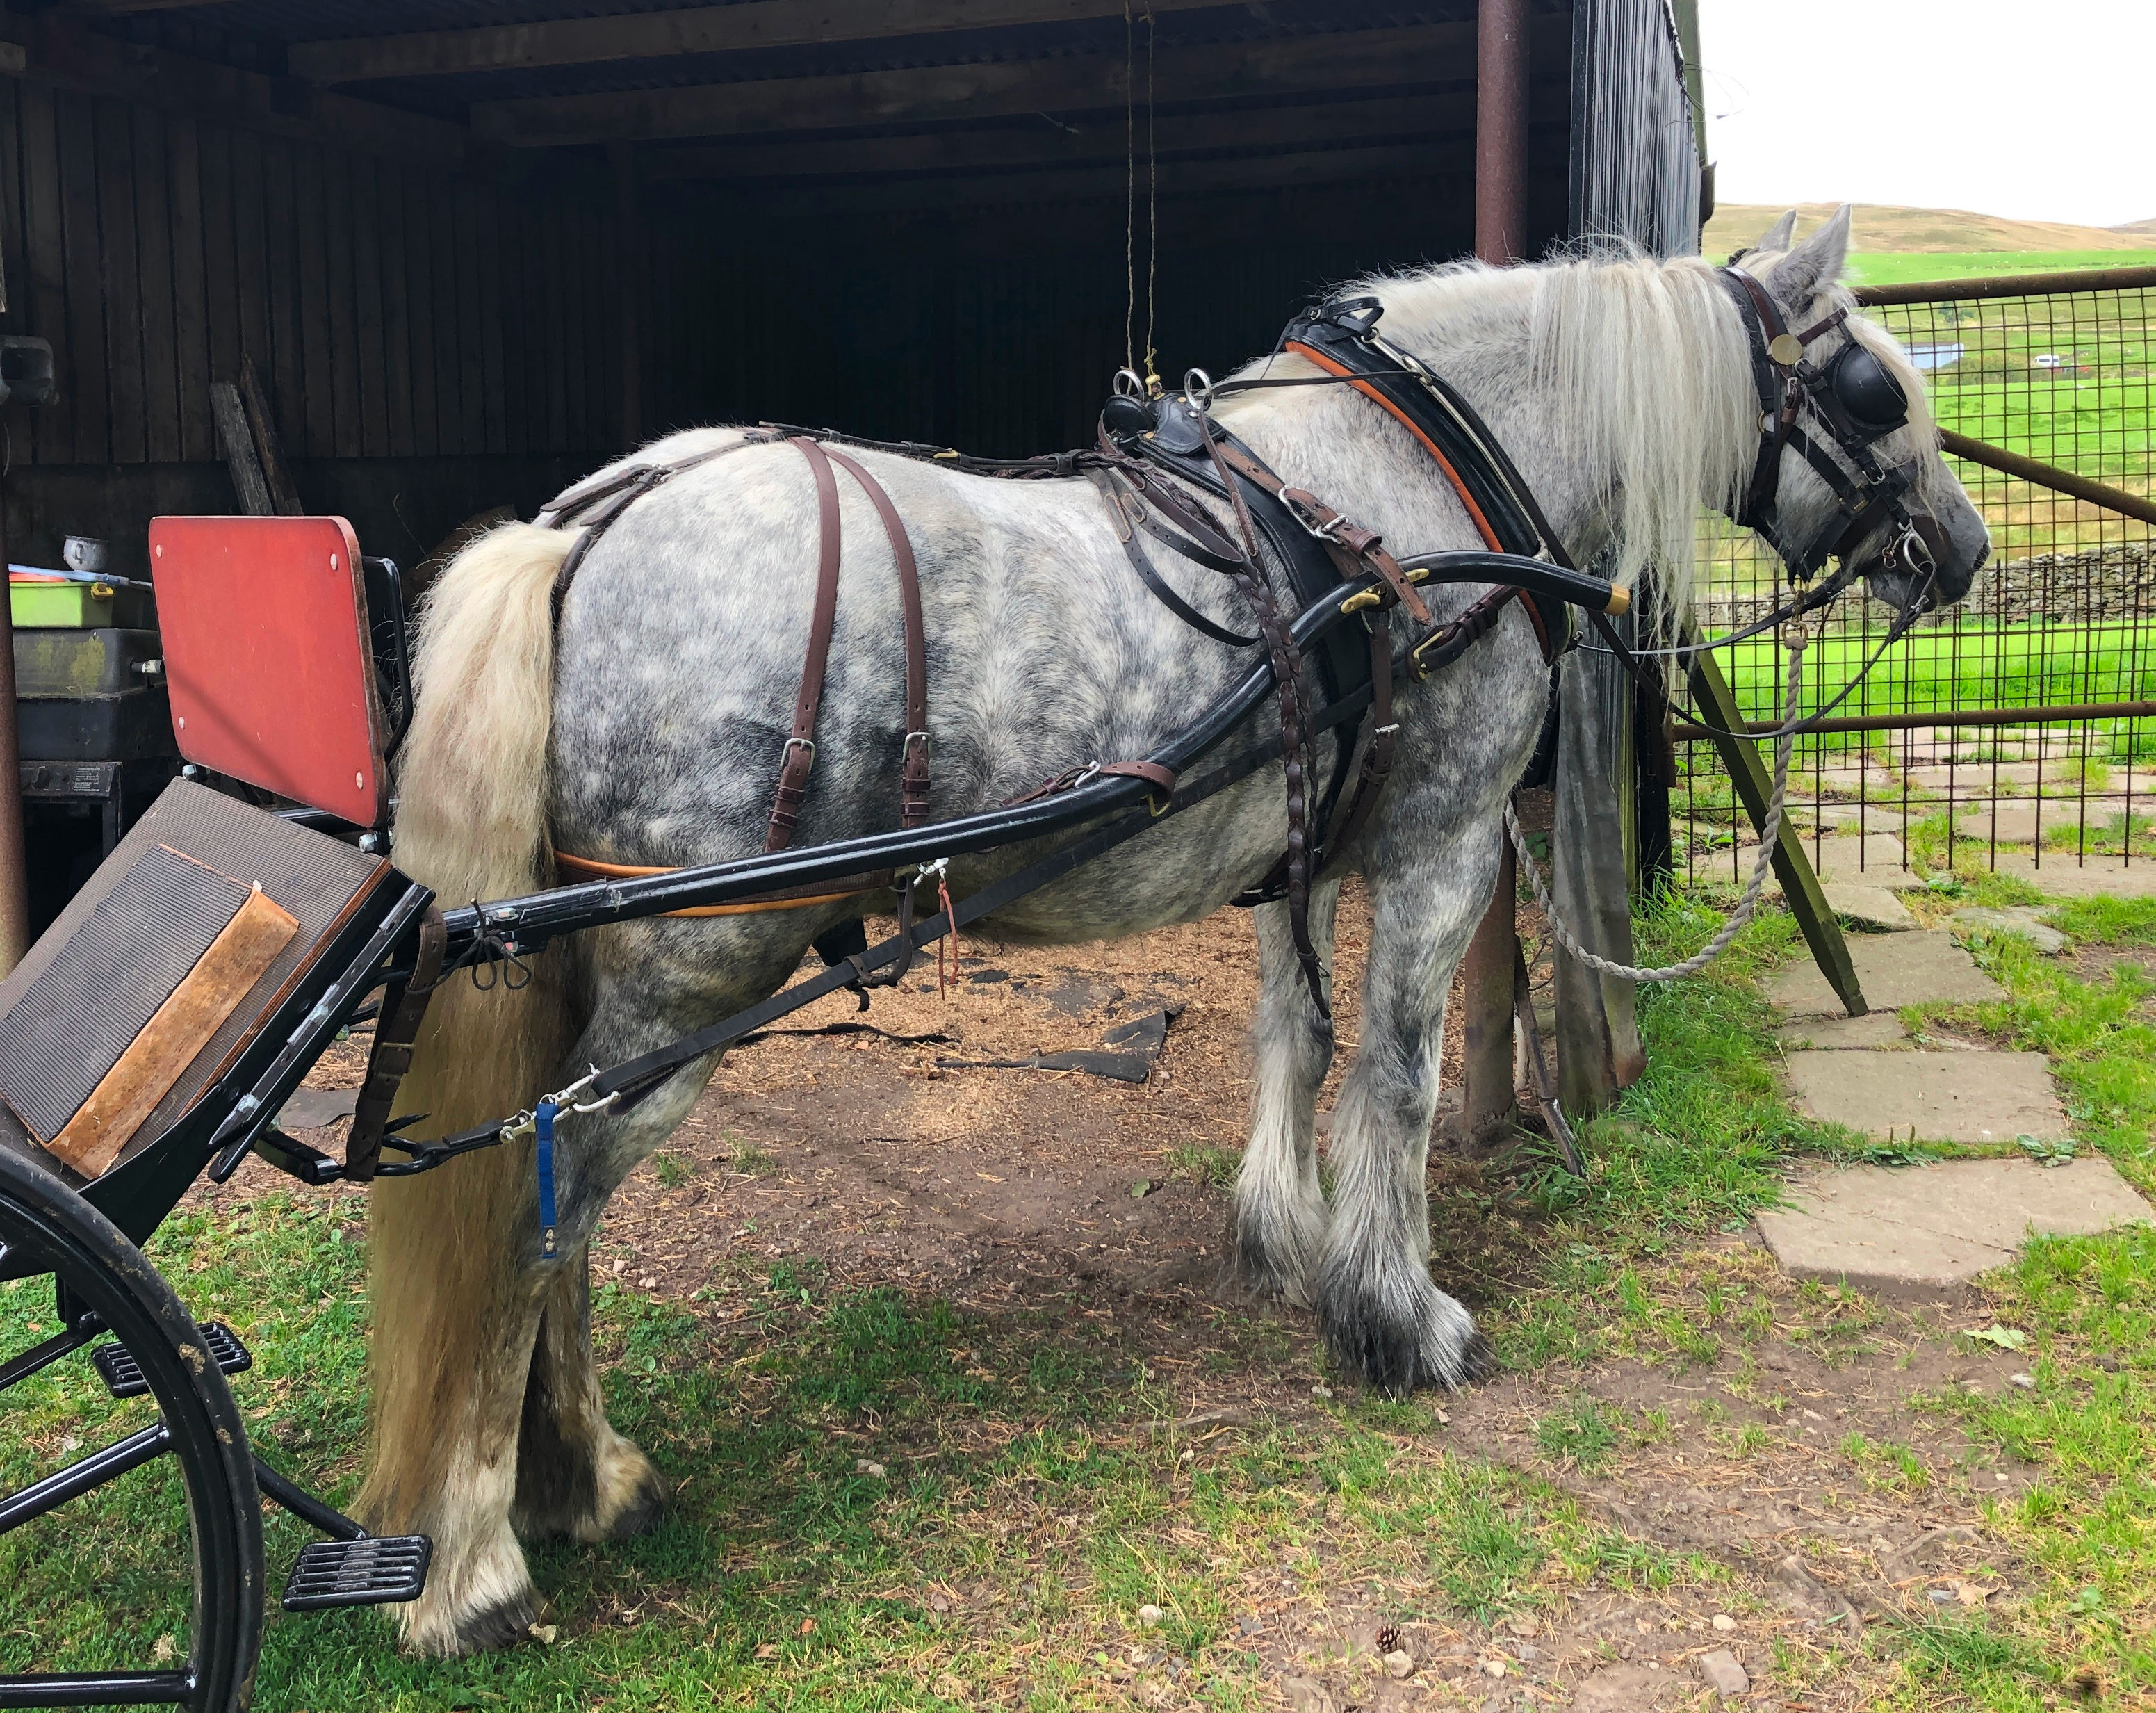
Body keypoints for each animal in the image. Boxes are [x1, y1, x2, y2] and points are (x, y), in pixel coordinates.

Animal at [353, 206, 1983, 1648]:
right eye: (1875, 386)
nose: (1959, 549)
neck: (1426, 484)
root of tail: (586, 524)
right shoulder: (1444, 838)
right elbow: (1394, 1077)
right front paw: (1401, 1314)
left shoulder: (1301, 839)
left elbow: (1292, 1033)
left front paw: (1286, 1236)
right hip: (697, 967)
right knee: (541, 1203)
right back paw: (478, 1562)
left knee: (557, 1201)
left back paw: (584, 1479)